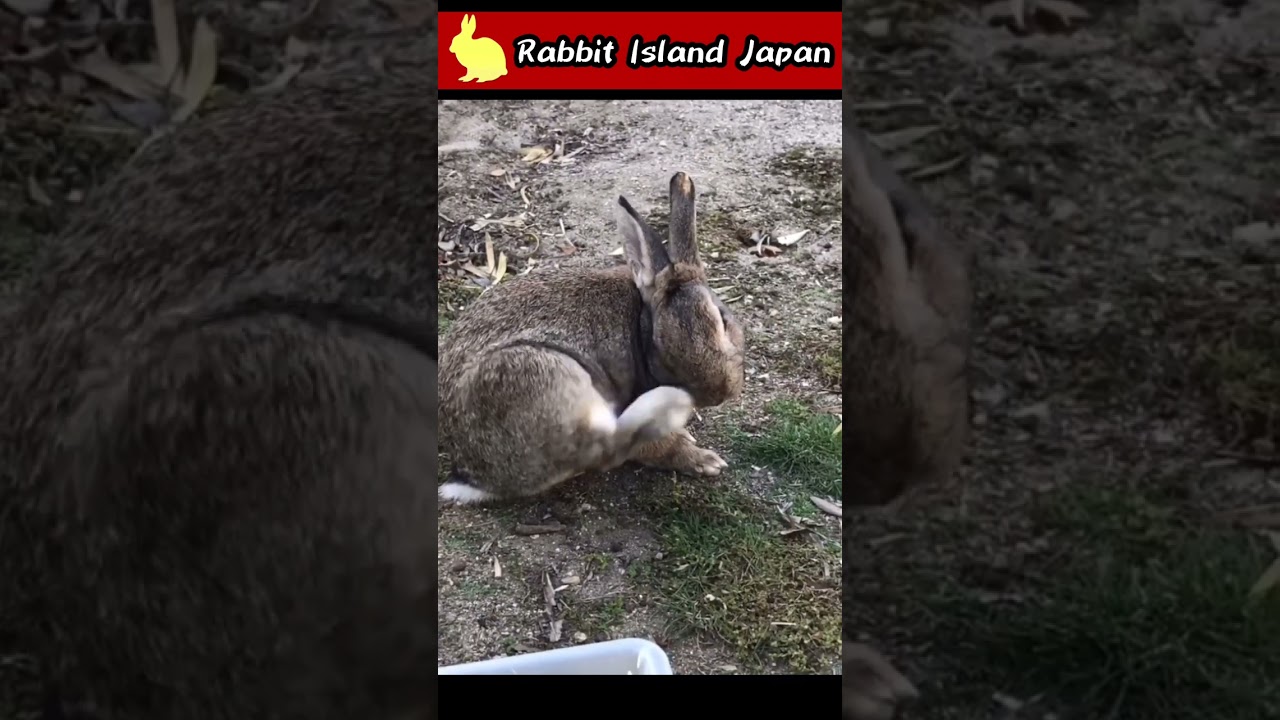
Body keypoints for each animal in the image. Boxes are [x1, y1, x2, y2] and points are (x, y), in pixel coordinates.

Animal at [437, 171, 745, 505]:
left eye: (723, 320)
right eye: (663, 350)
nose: (719, 393)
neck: (640, 326)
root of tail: (476, 476)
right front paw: (705, 460)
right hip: (540, 375)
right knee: (607, 450)